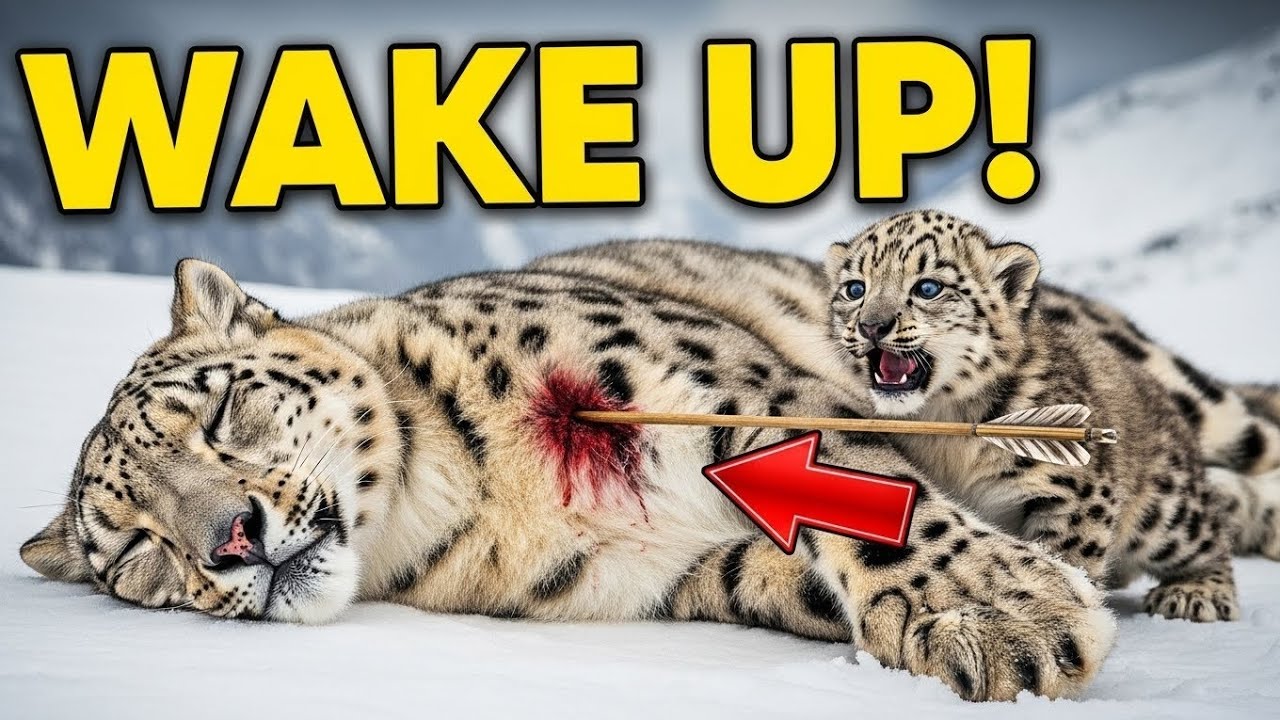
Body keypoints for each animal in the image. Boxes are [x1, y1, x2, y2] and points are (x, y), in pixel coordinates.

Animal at [21, 256, 1117, 702]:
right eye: (137, 547)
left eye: (218, 413)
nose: (231, 540)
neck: (482, 483)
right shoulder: (683, 573)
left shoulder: (714, 383)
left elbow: (861, 496)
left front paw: (1004, 621)